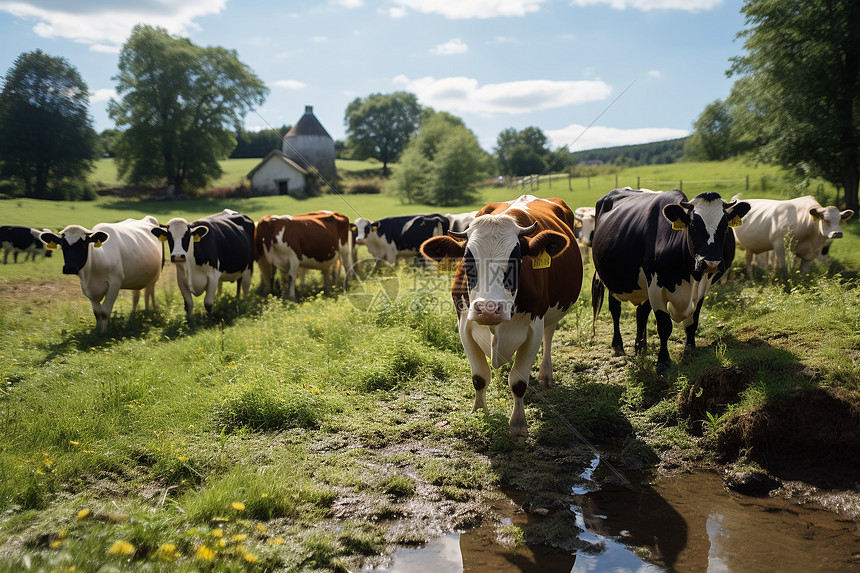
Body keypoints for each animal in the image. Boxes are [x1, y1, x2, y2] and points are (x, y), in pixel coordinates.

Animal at [420, 194, 580, 440]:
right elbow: (479, 377)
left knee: (549, 334)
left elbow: (518, 383)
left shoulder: (533, 329)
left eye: (517, 259)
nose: (488, 308)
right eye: (467, 260)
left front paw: (518, 426)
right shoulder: (464, 326)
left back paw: (546, 375)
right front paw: (479, 413)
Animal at [588, 188, 748, 370]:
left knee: (641, 312)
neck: (687, 277)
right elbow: (664, 326)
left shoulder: (701, 287)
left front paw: (689, 350)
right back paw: (618, 346)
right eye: (693, 225)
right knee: (615, 309)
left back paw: (640, 346)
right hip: (611, 279)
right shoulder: (656, 286)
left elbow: (692, 323)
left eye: (724, 226)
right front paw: (663, 362)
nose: (711, 262)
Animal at [724, 194, 852, 278]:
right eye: (825, 220)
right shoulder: (779, 245)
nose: (837, 233)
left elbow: (803, 272)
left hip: (751, 247)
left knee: (749, 260)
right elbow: (782, 268)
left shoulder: (808, 255)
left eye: (840, 220)